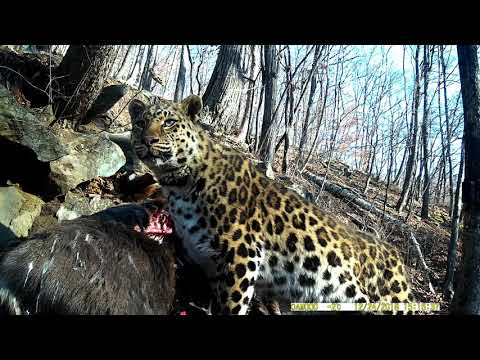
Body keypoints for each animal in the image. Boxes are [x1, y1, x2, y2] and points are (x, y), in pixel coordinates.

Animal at [129, 94, 414, 314]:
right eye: (140, 123)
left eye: (169, 123)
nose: (147, 140)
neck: (178, 184)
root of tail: (399, 259)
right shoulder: (210, 263)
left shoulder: (242, 254)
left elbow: (233, 306)